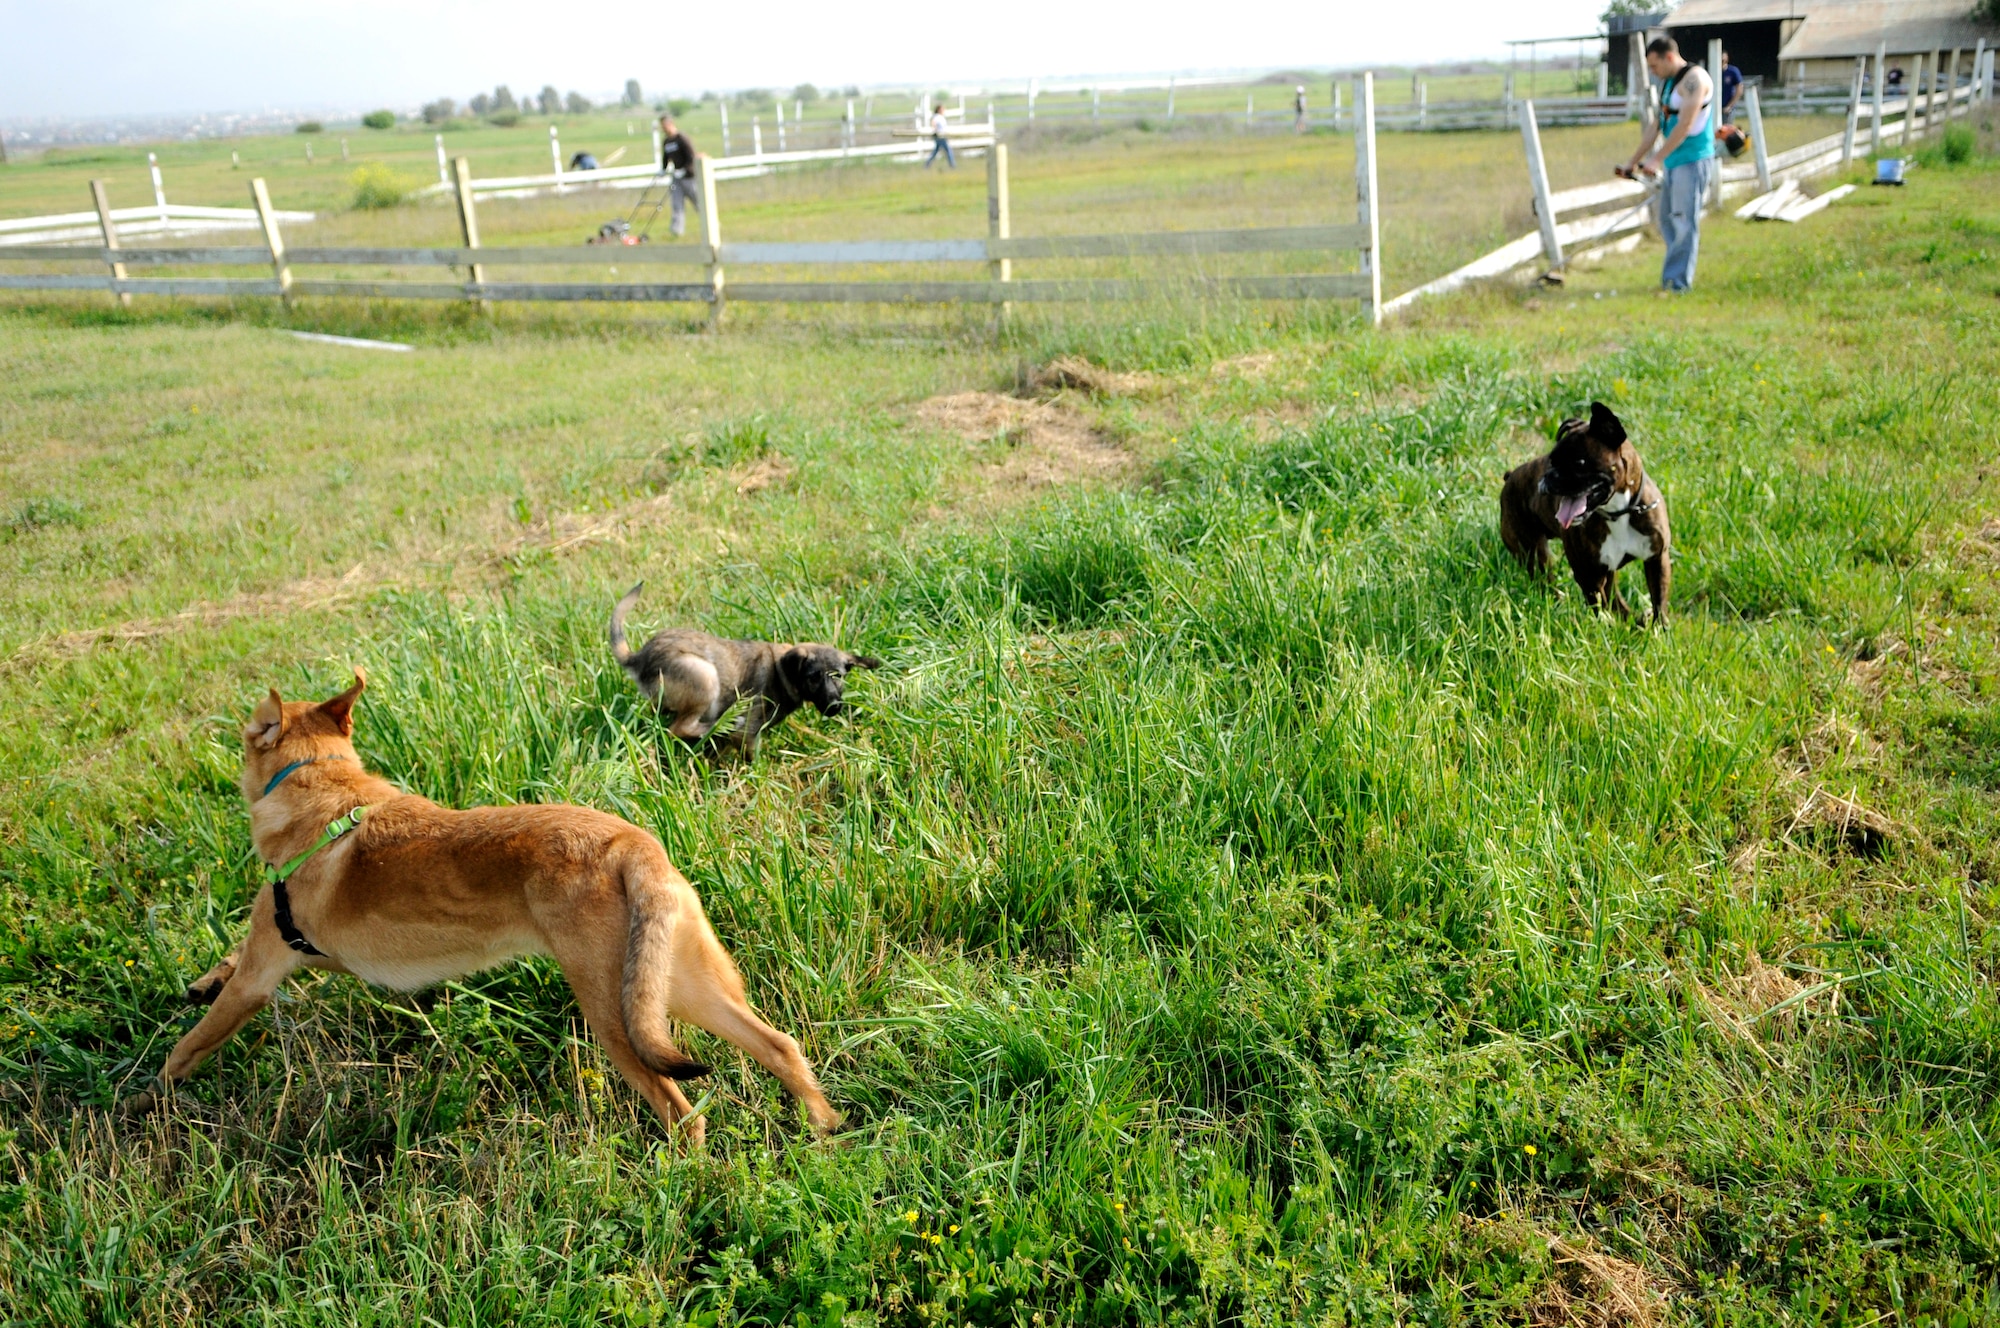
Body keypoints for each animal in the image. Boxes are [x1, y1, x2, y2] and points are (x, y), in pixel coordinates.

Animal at [131, 676, 836, 1144]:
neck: (323, 793)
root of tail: (630, 844)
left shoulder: (260, 976)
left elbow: (187, 1048)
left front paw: (143, 1101)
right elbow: (226, 960)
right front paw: (201, 980)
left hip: (616, 1018)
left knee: (681, 1109)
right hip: (676, 990)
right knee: (780, 1046)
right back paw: (826, 1128)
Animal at [604, 580, 880, 756]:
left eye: (839, 677)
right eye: (813, 677)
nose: (835, 707)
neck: (782, 674)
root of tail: (639, 657)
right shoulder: (748, 733)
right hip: (704, 675)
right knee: (680, 728)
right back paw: (718, 725)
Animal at [1504, 400, 1672, 624]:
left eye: (1580, 463)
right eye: (1551, 461)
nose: (1549, 476)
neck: (1618, 513)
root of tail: (1509, 477)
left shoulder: (1657, 560)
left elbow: (1658, 601)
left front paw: (1658, 627)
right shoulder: (1588, 575)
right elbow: (1601, 608)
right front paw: (1610, 626)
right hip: (1533, 555)